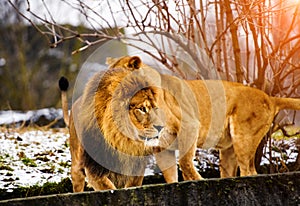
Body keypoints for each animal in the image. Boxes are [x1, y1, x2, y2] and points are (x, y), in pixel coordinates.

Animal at [58, 56, 164, 192]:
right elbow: (108, 187)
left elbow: (132, 184)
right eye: (142, 109)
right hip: (76, 166)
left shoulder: (136, 166)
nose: (161, 127)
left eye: (155, 107)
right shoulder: (93, 167)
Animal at [109, 55, 300, 183]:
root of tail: (269, 97)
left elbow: (185, 162)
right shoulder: (162, 147)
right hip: (228, 151)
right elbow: (170, 176)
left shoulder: (190, 126)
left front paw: (197, 180)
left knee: (250, 172)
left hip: (243, 138)